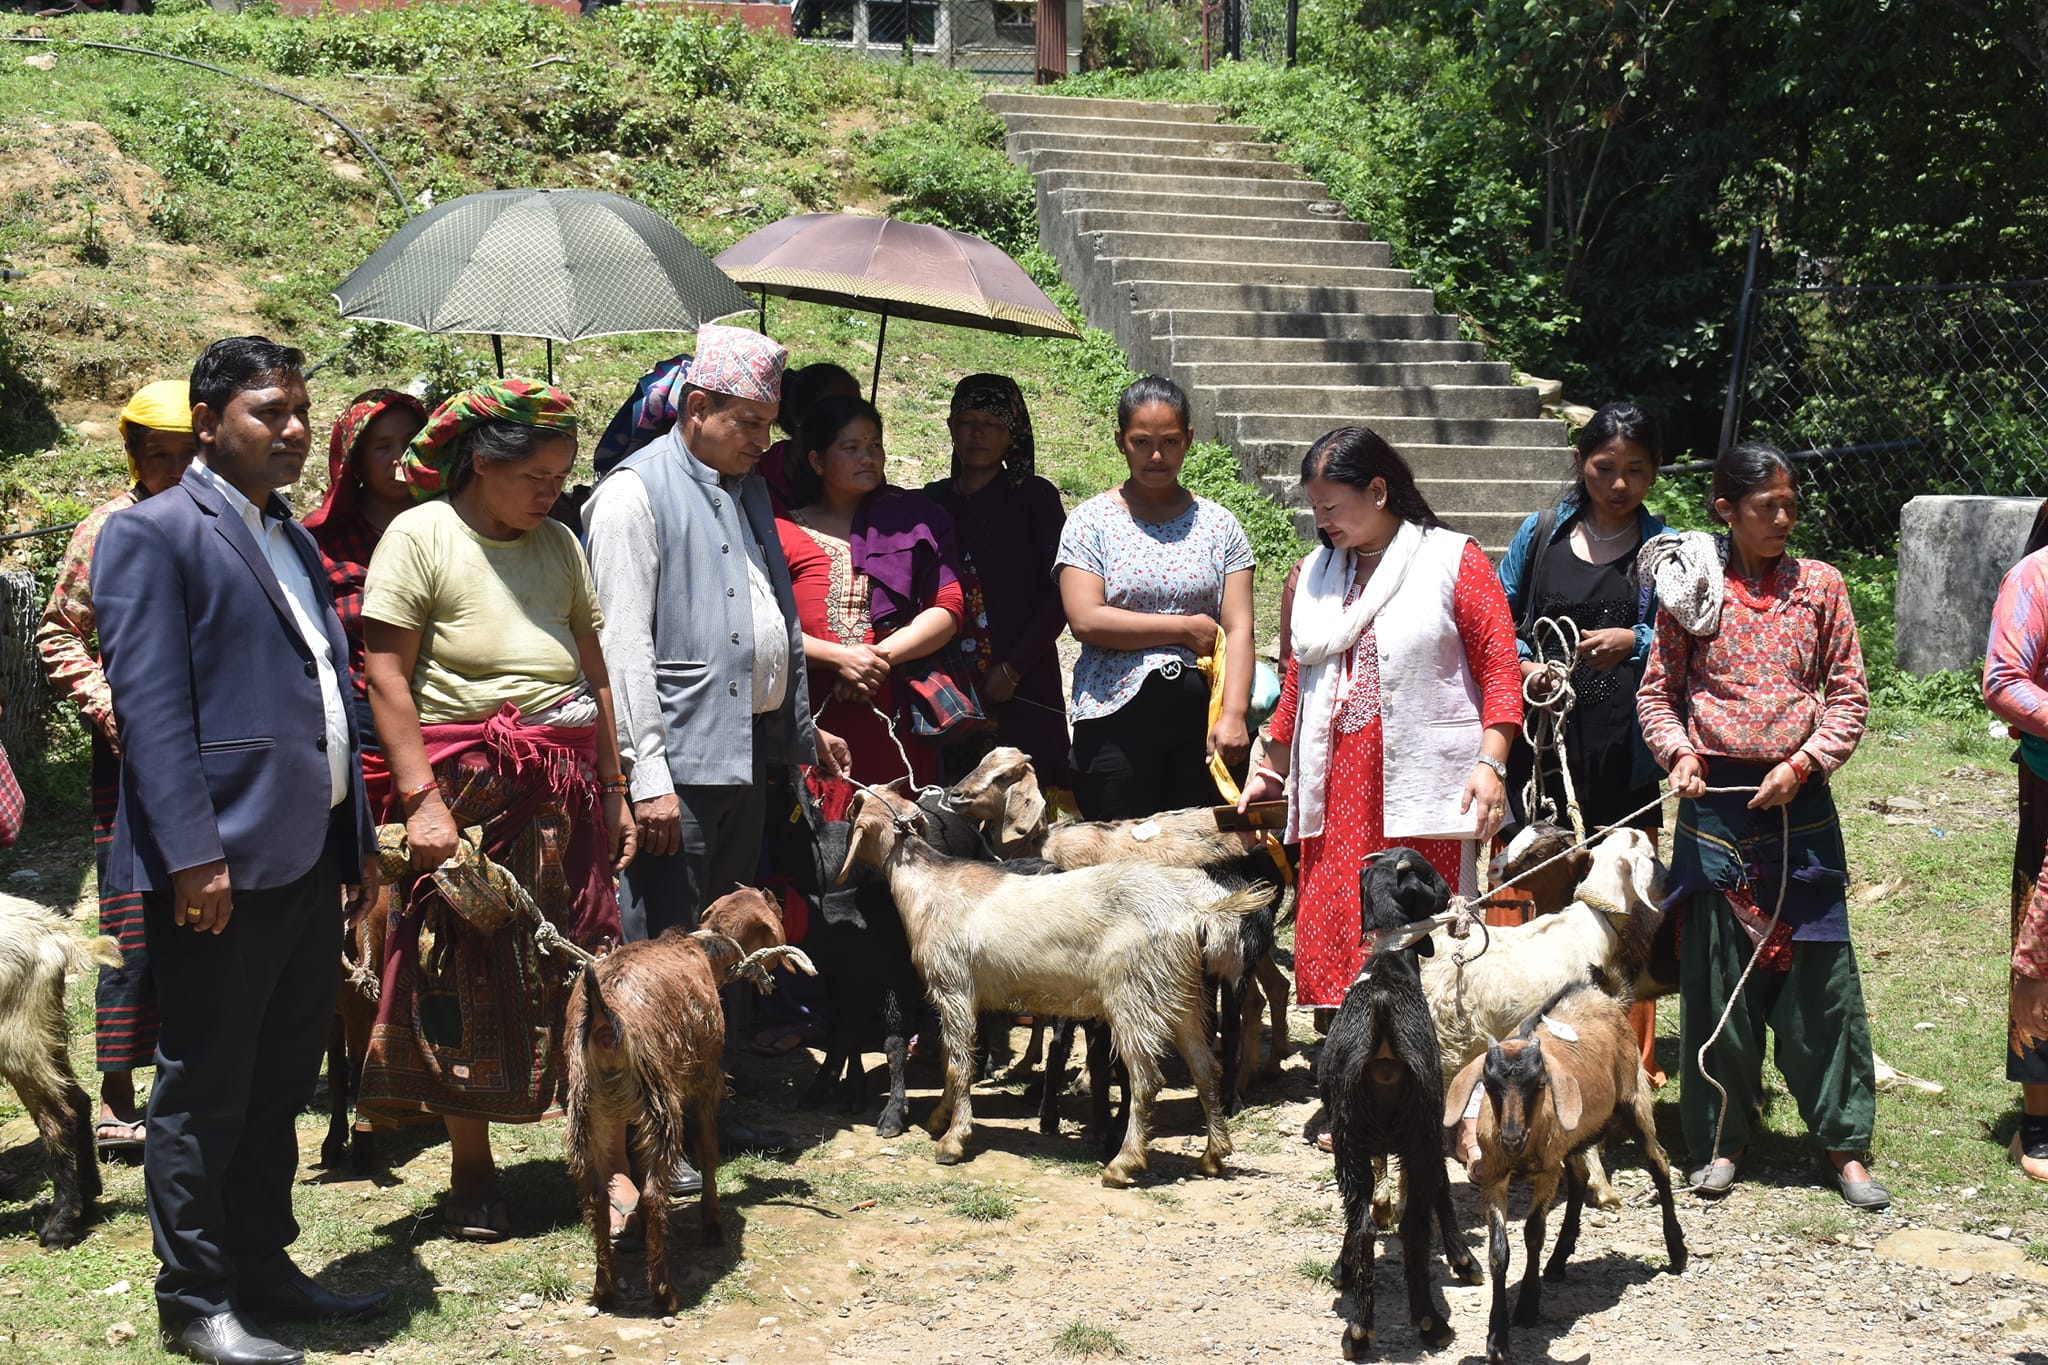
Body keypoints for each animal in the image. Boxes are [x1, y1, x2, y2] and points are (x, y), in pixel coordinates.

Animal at [0, 900, 121, 1244]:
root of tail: (51, 931)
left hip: (16, 1035)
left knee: (57, 1119)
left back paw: (59, 1224)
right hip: (42, 1025)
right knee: (78, 1102)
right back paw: (87, 1196)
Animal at [569, 888, 815, 1309]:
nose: (776, 895)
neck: (703, 949)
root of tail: (604, 1023)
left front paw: (635, 1230)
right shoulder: (703, 1081)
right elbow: (709, 1152)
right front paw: (713, 1224)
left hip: (589, 1111)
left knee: (596, 1199)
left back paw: (604, 1289)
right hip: (659, 1103)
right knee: (654, 1193)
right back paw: (663, 1292)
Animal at [835, 789, 1261, 1186]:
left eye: (855, 806)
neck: (931, 887)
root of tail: (1197, 911)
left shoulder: (953, 988)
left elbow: (958, 1064)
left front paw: (953, 1140)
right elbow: (952, 1061)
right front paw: (941, 1117)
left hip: (1134, 998)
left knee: (1147, 1080)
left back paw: (1123, 1163)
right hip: (1181, 994)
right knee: (1205, 1068)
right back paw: (1213, 1155)